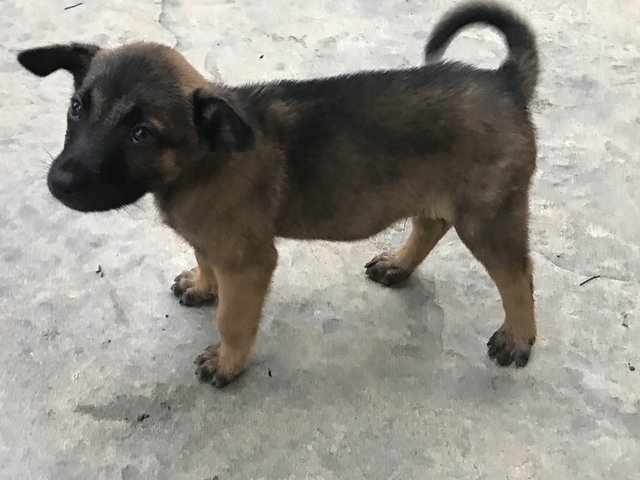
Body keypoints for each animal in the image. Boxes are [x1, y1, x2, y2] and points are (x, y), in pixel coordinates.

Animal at [17, 1, 540, 388]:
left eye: (141, 133)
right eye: (77, 107)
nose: (59, 182)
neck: (205, 157)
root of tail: (504, 80)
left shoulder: (248, 261)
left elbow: (232, 318)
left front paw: (227, 362)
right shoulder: (213, 242)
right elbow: (205, 262)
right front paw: (202, 286)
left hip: (489, 216)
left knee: (517, 275)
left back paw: (518, 337)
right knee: (432, 222)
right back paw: (399, 263)